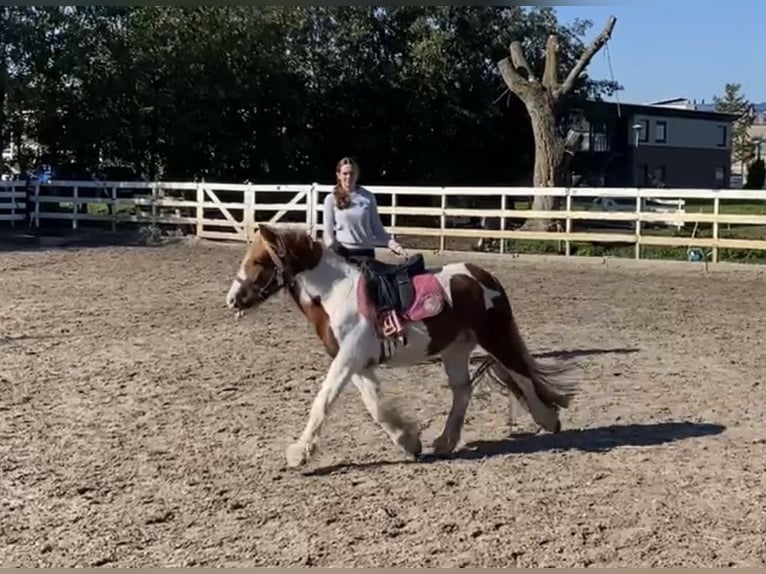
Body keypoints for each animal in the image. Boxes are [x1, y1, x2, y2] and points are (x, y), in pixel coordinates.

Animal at [225, 223, 580, 470]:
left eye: (258, 261)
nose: (232, 299)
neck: (336, 293)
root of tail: (484, 276)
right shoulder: (357, 362)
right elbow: (375, 406)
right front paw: (409, 441)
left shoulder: (347, 359)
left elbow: (323, 401)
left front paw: (299, 454)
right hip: (455, 349)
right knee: (462, 391)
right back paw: (445, 442)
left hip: (495, 338)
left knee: (521, 377)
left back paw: (548, 421)